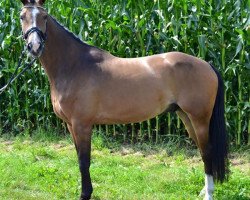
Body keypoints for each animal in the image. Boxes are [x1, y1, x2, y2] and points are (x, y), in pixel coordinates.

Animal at [19, 0, 229, 199]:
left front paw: (85, 194)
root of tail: (207, 65)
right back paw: (204, 190)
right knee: (203, 151)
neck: (74, 66)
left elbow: (84, 161)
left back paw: (209, 194)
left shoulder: (81, 124)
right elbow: (79, 157)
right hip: (186, 116)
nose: (35, 47)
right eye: (22, 17)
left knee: (208, 152)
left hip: (199, 118)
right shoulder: (71, 125)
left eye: (44, 16)